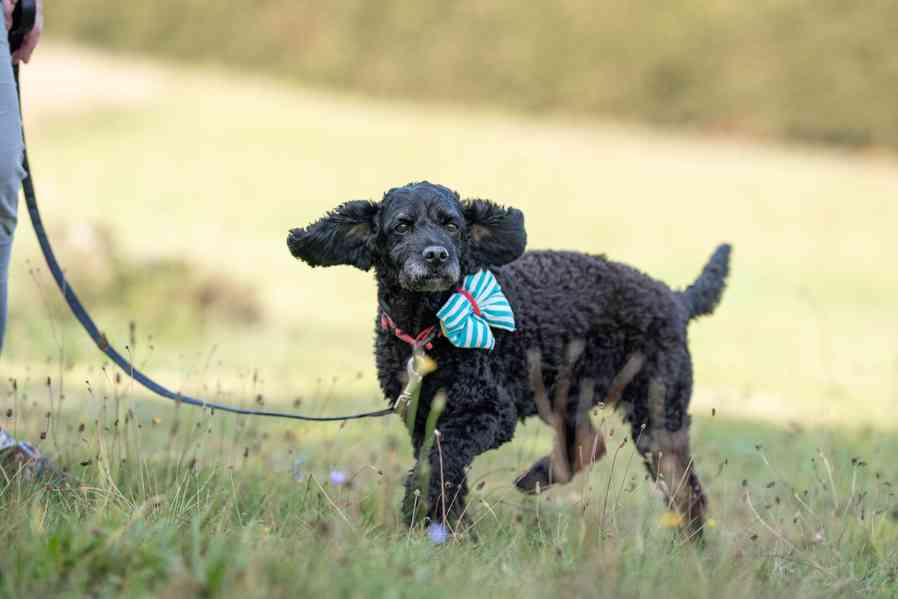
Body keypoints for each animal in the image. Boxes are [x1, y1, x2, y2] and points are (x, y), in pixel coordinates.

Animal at [288, 180, 728, 536]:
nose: (436, 255)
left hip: (657, 416)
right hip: (564, 394)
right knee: (588, 443)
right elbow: (442, 468)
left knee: (686, 494)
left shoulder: (488, 412)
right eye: (401, 225)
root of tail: (675, 298)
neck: (427, 323)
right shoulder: (423, 415)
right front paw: (448, 527)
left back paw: (693, 551)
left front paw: (422, 512)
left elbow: (440, 463)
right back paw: (536, 478)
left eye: (452, 225)